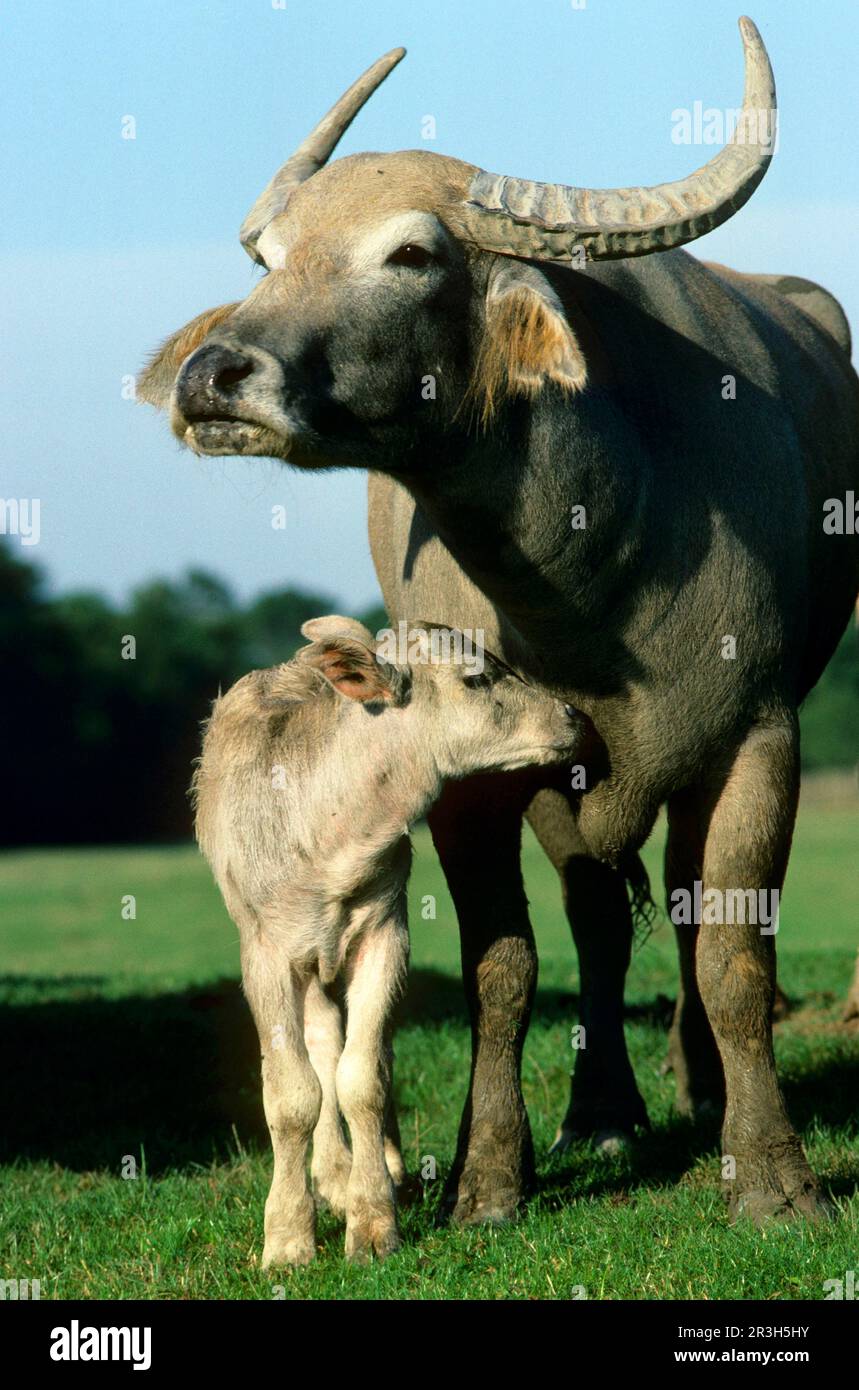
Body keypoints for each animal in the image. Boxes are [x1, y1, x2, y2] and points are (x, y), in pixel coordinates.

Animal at [140, 16, 856, 1223]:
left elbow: (732, 957)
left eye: (412, 256)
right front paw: (483, 1179)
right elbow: (502, 966)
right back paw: (603, 1112)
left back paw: (700, 1093)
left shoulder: (759, 735)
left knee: (676, 911)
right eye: (267, 261)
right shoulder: (473, 776)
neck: (598, 579)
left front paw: (773, 1179)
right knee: (596, 913)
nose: (213, 374)